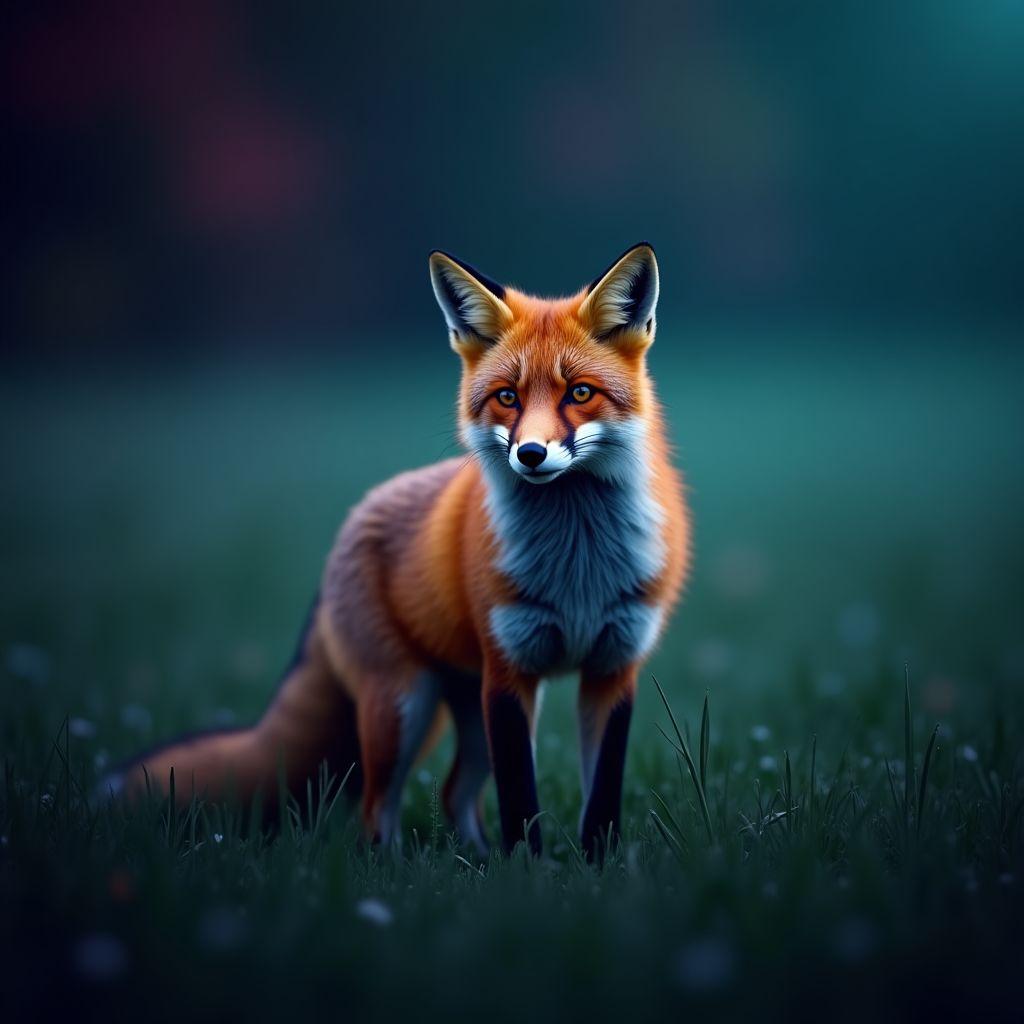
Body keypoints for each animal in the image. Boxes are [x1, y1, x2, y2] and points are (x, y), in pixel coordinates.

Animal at [107, 242, 690, 857]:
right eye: (507, 397)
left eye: (579, 393)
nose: (530, 454)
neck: (578, 565)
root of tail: (353, 521)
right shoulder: (510, 672)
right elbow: (520, 805)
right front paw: (530, 869)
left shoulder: (612, 667)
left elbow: (600, 802)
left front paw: (595, 869)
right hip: (405, 705)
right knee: (375, 810)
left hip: (464, 704)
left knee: (454, 792)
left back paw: (478, 861)